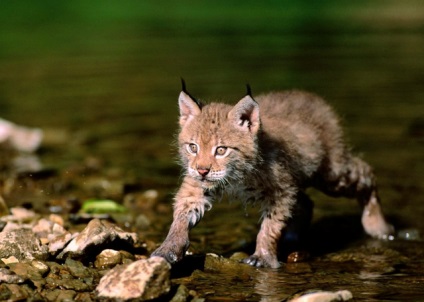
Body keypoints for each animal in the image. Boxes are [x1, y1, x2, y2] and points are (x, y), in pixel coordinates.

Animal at [152, 83, 390, 268]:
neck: (236, 176)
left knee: (366, 172)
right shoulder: (197, 186)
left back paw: (379, 227)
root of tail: (309, 96)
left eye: (221, 150)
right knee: (306, 202)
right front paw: (169, 248)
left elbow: (270, 227)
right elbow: (181, 217)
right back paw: (293, 237)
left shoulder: (281, 189)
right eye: (193, 147)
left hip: (332, 174)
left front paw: (263, 257)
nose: (202, 170)